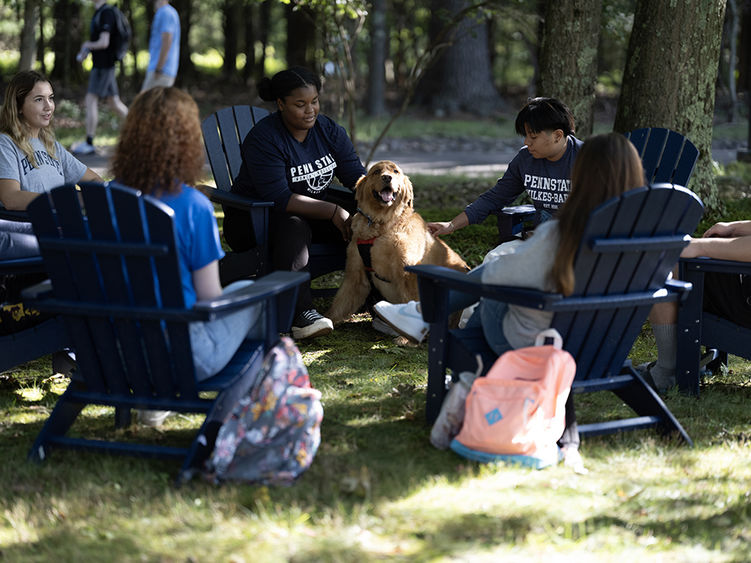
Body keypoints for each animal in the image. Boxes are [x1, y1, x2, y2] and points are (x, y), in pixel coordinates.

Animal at [326, 160, 468, 326]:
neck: (382, 224)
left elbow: (413, 304)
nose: (387, 177)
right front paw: (325, 320)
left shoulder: (408, 273)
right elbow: (339, 303)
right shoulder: (355, 274)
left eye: (395, 171)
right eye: (376, 171)